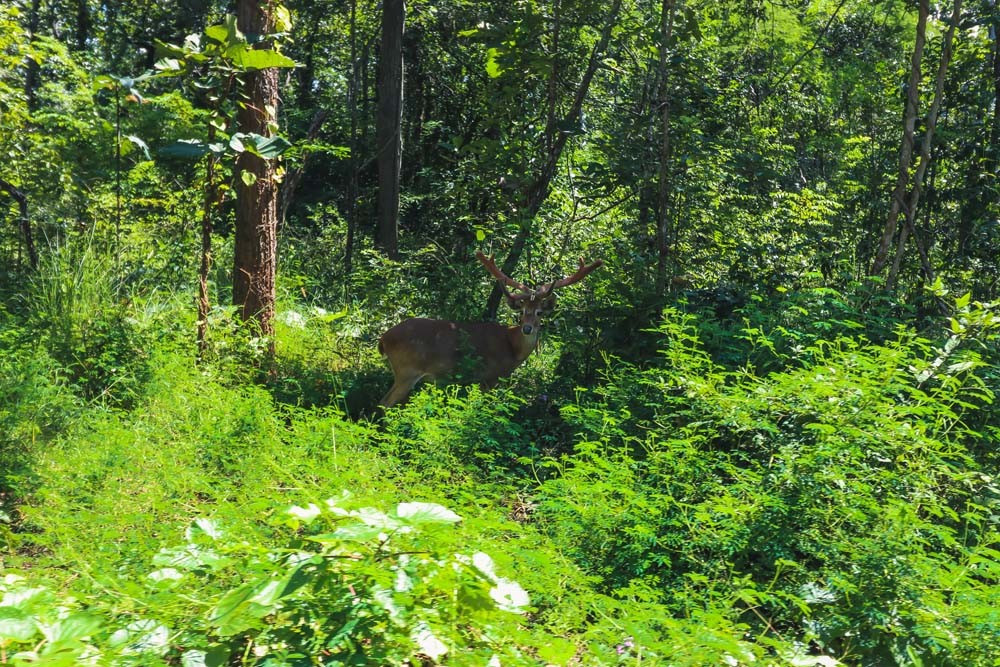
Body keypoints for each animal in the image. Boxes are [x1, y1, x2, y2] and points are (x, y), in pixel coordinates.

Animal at [376, 250, 600, 408]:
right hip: (407, 369)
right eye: (522, 311)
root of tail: (384, 339)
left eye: (539, 313)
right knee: (384, 403)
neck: (512, 348)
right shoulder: (490, 376)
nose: (527, 328)